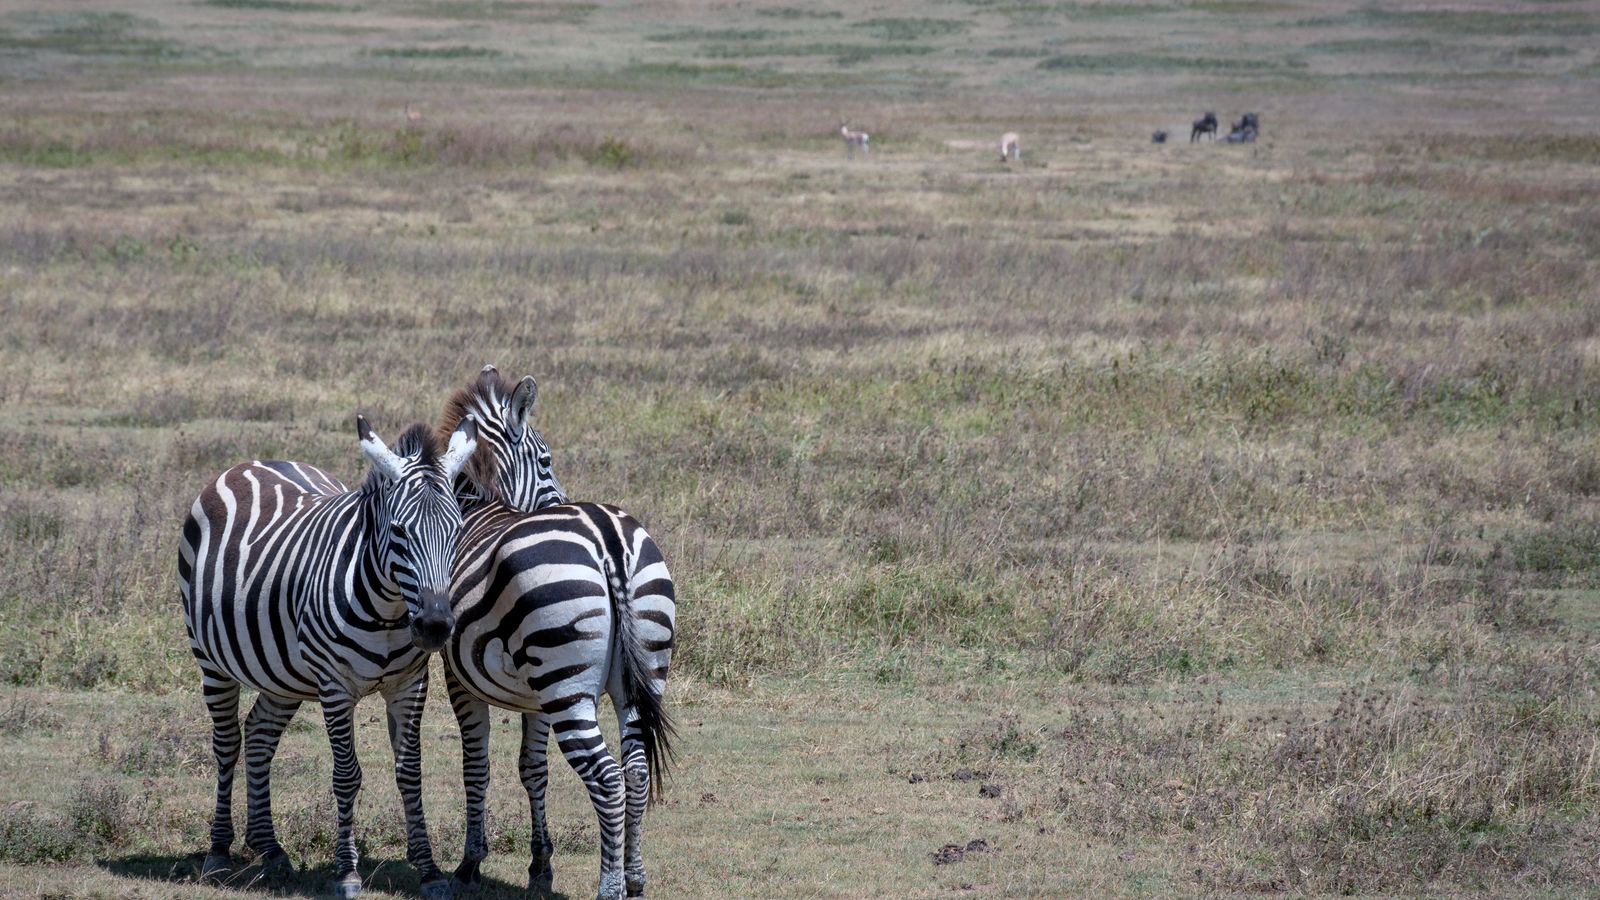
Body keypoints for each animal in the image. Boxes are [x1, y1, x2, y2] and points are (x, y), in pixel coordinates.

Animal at [177, 415, 477, 899]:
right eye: (399, 531)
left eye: (456, 532)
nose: (434, 626)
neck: (388, 611)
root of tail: (251, 462)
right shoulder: (336, 686)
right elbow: (347, 775)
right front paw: (347, 871)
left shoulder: (410, 684)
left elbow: (410, 772)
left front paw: (430, 871)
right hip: (211, 658)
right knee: (227, 743)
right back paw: (219, 852)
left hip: (283, 672)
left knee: (258, 734)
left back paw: (271, 849)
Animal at [437, 366, 676, 900]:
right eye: (546, 460)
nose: (561, 498)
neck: (480, 506)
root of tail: (607, 539)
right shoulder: (536, 697)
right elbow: (533, 770)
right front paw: (540, 867)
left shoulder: (460, 680)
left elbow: (476, 766)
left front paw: (469, 864)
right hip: (633, 670)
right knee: (634, 771)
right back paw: (634, 879)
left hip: (566, 688)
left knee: (607, 778)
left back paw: (609, 887)